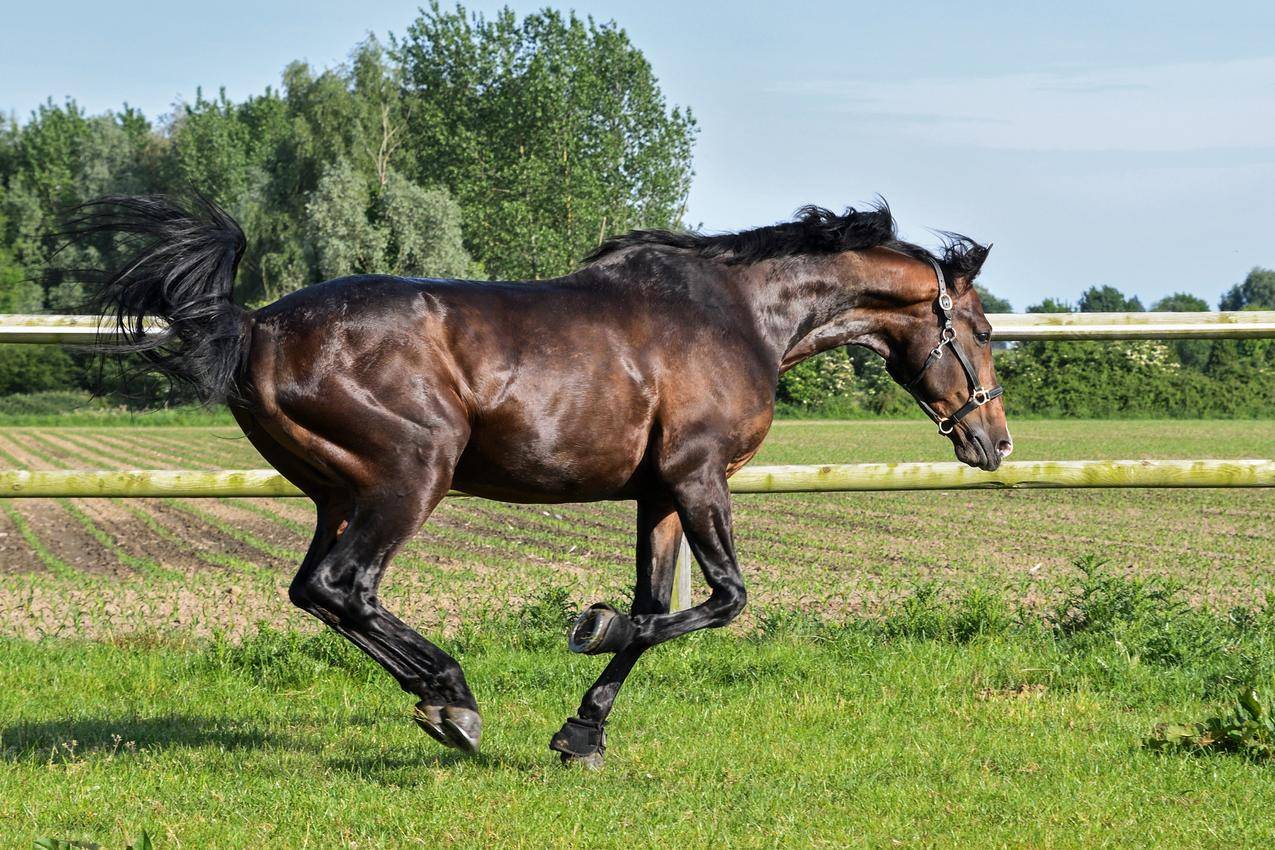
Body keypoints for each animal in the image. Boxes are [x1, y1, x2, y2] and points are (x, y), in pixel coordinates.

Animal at [67, 196, 1004, 769]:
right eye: (984, 329)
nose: (991, 440)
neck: (740, 316)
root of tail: (255, 324)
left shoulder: (658, 493)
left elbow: (657, 610)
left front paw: (581, 733)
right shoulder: (700, 478)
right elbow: (723, 599)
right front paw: (589, 626)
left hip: (338, 494)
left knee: (314, 592)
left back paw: (441, 698)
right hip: (411, 476)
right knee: (346, 586)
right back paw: (452, 700)